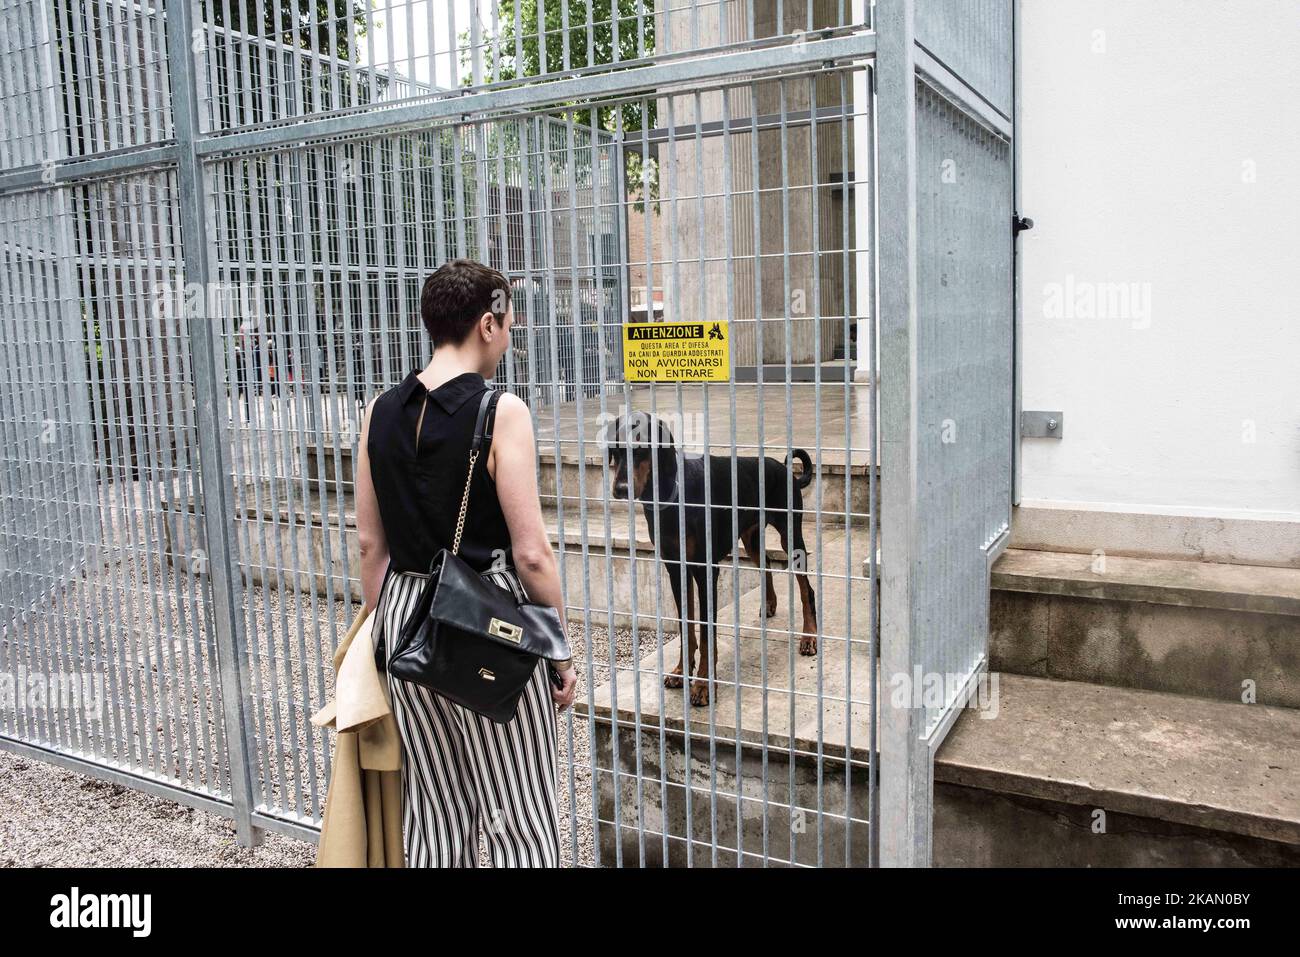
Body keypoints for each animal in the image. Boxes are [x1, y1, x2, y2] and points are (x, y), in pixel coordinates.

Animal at [603, 410, 816, 702]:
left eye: (642, 446)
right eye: (616, 448)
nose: (621, 488)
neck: (673, 495)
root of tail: (784, 469)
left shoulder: (706, 569)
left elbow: (706, 631)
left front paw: (704, 684)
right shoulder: (676, 567)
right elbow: (686, 625)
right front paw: (681, 672)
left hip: (790, 535)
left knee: (806, 588)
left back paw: (809, 637)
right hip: (750, 537)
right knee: (766, 564)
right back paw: (770, 604)